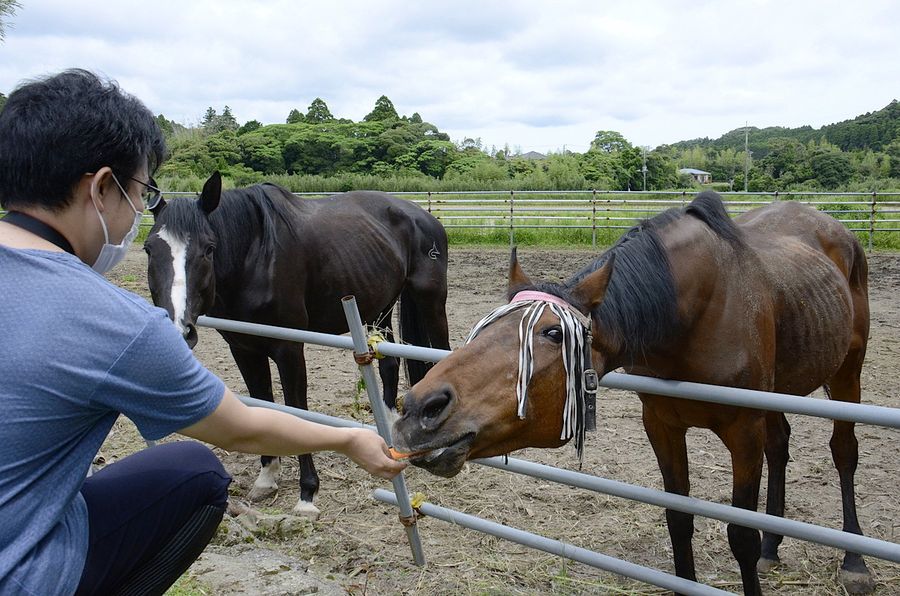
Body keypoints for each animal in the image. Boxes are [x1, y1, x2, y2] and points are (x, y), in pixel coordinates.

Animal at [146, 170, 450, 516]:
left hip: (431, 301)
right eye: (149, 249)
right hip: (379, 308)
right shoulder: (243, 348)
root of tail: (423, 216)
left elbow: (296, 409)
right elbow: (262, 401)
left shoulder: (289, 349)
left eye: (209, 248)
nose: (178, 329)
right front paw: (267, 477)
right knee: (389, 363)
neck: (256, 255)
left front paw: (307, 493)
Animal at [392, 192, 872, 596]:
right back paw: (775, 546)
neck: (694, 311)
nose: (419, 409)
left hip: (847, 374)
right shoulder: (661, 424)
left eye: (552, 333)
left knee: (844, 452)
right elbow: (679, 519)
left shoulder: (744, 430)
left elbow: (740, 535)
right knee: (781, 445)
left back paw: (855, 561)